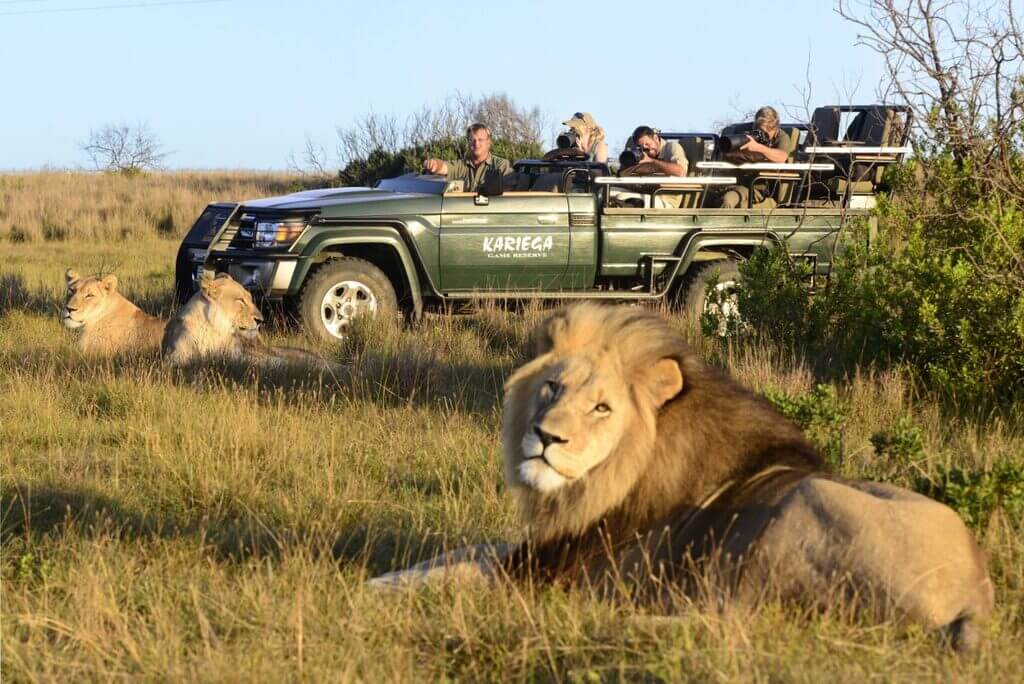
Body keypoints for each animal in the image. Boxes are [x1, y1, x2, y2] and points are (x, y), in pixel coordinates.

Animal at [372, 303, 995, 651]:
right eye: (552, 387)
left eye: (602, 408)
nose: (546, 437)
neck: (594, 487)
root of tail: (977, 595)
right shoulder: (541, 547)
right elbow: (461, 552)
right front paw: (387, 575)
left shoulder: (554, 570)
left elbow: (462, 571)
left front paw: (373, 587)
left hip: (799, 514)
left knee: (736, 624)